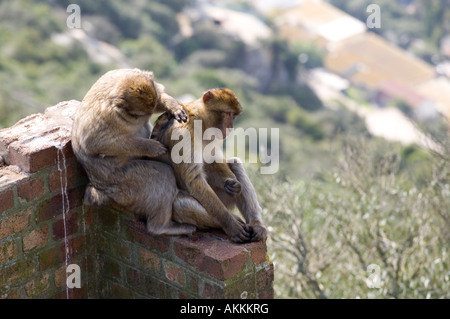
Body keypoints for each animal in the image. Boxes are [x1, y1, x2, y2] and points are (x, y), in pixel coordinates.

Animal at [72, 69, 199, 236]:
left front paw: (173, 106)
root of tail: (101, 189)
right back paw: (161, 227)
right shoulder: (103, 116)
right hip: (123, 182)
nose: (147, 115)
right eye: (137, 114)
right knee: (162, 176)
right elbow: (95, 143)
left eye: (149, 110)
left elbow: (158, 94)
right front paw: (152, 147)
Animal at [153, 87, 268, 242]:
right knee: (181, 205)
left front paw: (232, 184)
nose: (230, 126)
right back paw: (232, 220)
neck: (200, 122)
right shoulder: (183, 132)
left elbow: (211, 160)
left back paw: (257, 225)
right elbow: (195, 180)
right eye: (227, 113)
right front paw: (231, 225)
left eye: (233, 115)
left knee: (235, 164)